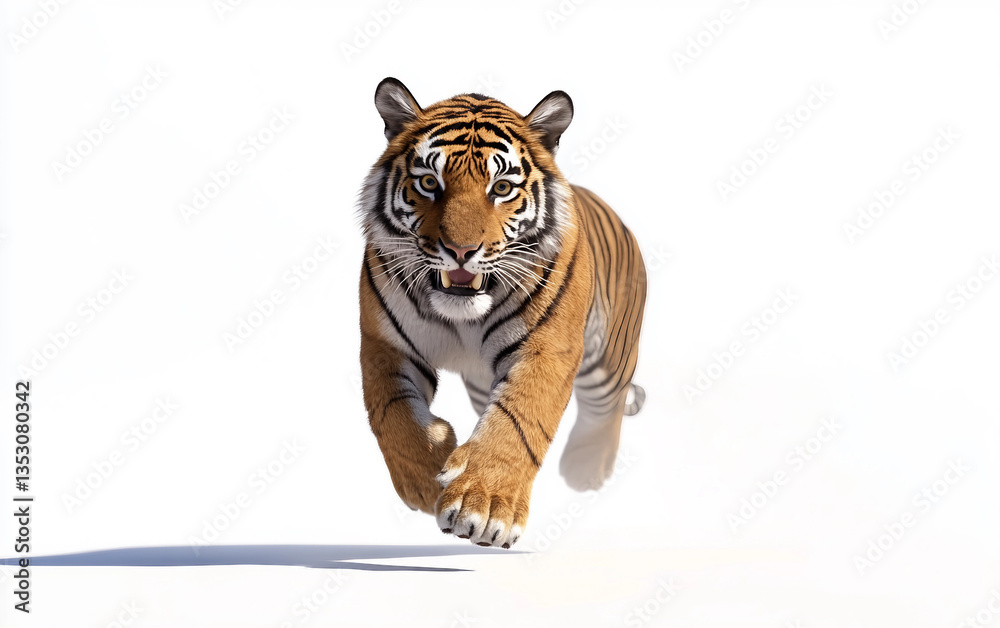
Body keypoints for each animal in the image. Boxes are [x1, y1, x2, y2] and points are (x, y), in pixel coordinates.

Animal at [358, 77, 646, 548]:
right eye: (429, 182)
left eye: (502, 188)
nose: (460, 251)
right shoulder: (385, 344)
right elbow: (393, 413)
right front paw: (427, 478)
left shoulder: (546, 349)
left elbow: (518, 420)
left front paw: (484, 507)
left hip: (609, 361)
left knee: (608, 406)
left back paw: (586, 468)